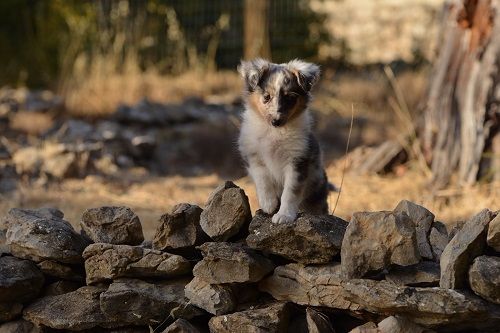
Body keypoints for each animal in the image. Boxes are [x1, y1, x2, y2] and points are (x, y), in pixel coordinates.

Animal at [237, 58, 328, 222]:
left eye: (290, 98)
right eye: (266, 97)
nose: (276, 121)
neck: (274, 132)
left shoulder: (297, 162)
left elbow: (290, 193)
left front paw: (284, 215)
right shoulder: (253, 156)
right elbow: (263, 179)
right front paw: (268, 204)